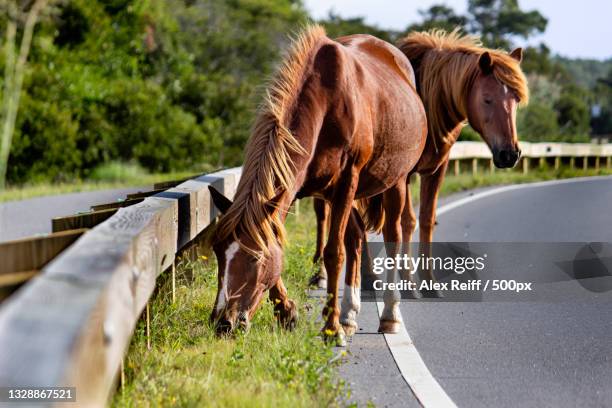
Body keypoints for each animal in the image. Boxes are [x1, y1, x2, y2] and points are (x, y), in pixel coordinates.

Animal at [206, 25, 426, 342]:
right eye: (218, 253)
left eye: (255, 258)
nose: (224, 322)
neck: (326, 102)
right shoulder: (297, 188)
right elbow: (280, 242)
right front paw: (287, 311)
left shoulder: (347, 181)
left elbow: (333, 252)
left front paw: (331, 327)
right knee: (355, 237)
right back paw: (349, 313)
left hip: (394, 182)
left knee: (393, 236)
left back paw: (388, 314)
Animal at [310, 27, 532, 328]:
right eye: (488, 98)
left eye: (516, 100)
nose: (510, 154)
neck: (431, 97)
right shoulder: (402, 175)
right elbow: (407, 221)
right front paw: (407, 283)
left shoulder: (437, 169)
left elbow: (426, 219)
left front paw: (428, 282)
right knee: (327, 217)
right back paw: (331, 276)